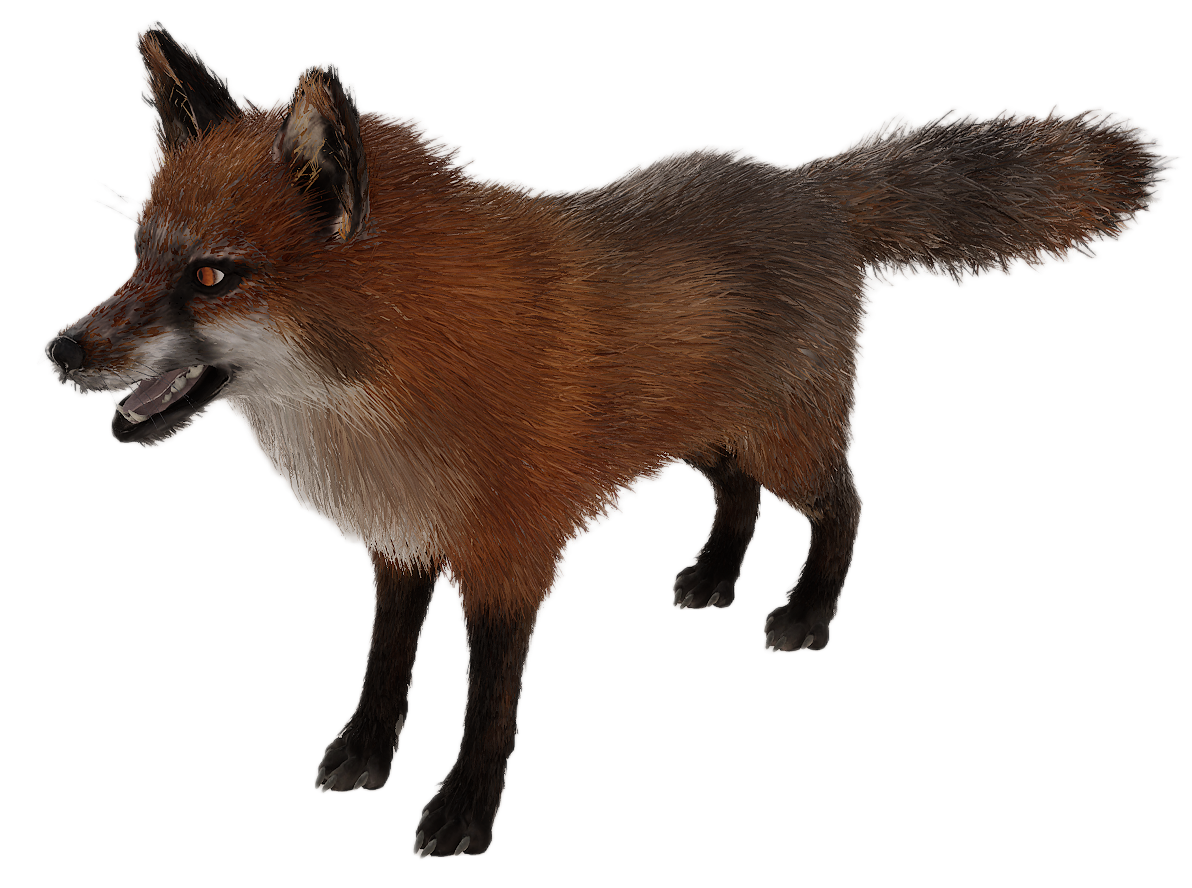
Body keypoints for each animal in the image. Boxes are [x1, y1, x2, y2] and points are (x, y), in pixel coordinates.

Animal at [39, 18, 1177, 858]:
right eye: (138, 255)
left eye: (213, 277)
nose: (59, 353)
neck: (392, 381)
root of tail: (805, 183)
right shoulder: (402, 543)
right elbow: (385, 666)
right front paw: (363, 756)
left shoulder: (509, 558)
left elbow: (489, 707)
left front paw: (463, 811)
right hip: (702, 435)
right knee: (734, 496)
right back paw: (713, 579)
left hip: (784, 441)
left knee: (847, 506)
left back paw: (806, 614)